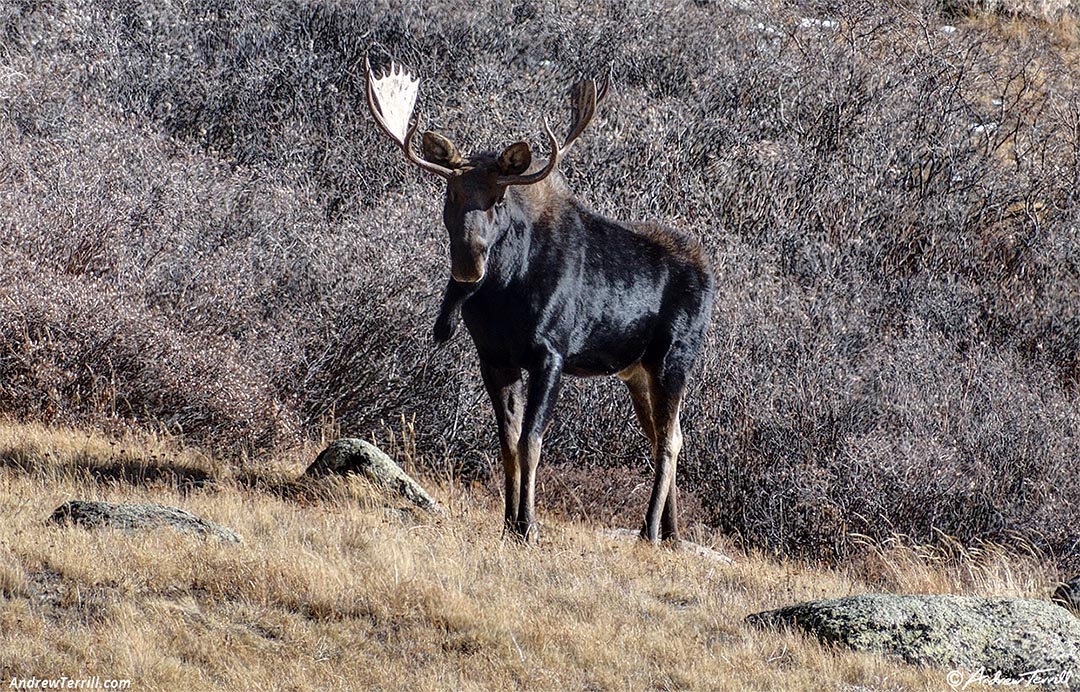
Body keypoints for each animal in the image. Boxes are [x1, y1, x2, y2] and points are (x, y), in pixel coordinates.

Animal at [367, 59, 712, 541]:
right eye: (452, 192)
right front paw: (508, 522)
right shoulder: (494, 358)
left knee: (670, 439)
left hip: (673, 358)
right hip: (635, 370)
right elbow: (508, 443)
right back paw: (672, 530)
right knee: (667, 434)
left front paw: (528, 525)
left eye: (498, 198)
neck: (504, 298)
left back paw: (649, 529)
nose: (469, 263)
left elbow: (532, 441)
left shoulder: (551, 355)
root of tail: (709, 271)